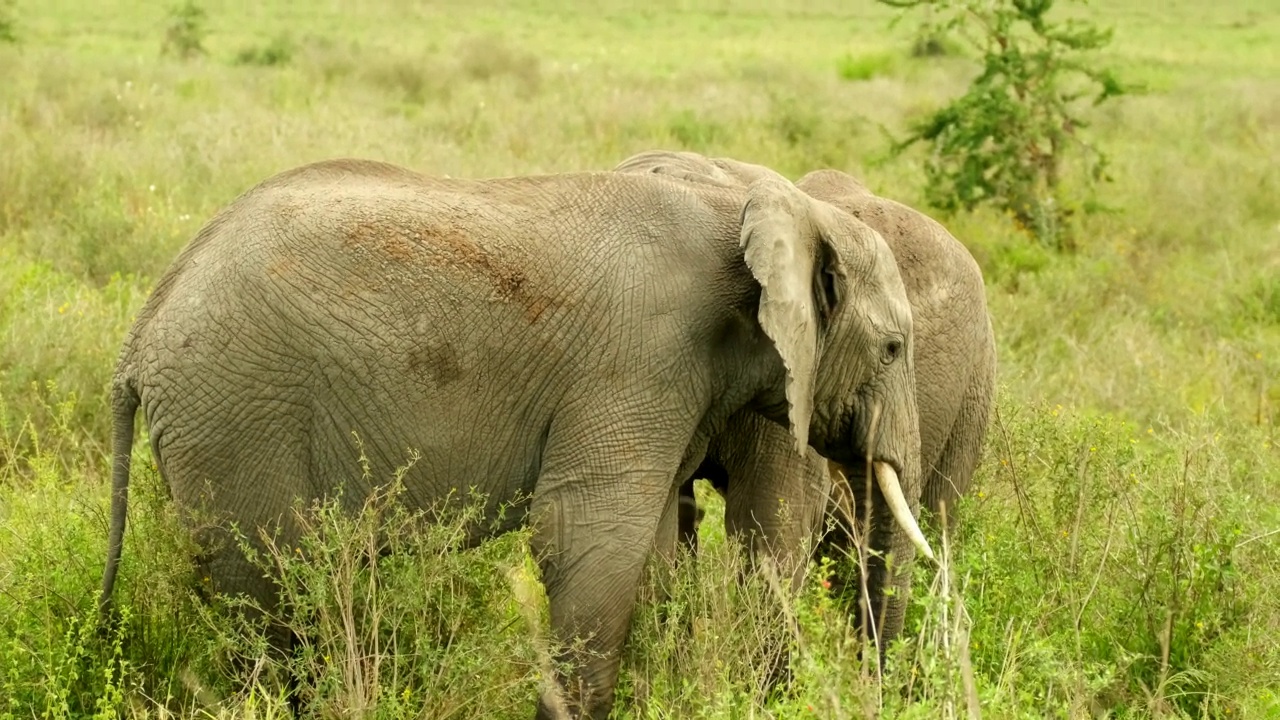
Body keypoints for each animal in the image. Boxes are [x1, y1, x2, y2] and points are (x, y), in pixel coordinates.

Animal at [97, 158, 921, 717]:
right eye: (893, 350)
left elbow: (648, 552)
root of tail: (139, 335)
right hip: (236, 415)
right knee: (274, 591)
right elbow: (588, 537)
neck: (770, 209)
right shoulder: (638, 361)